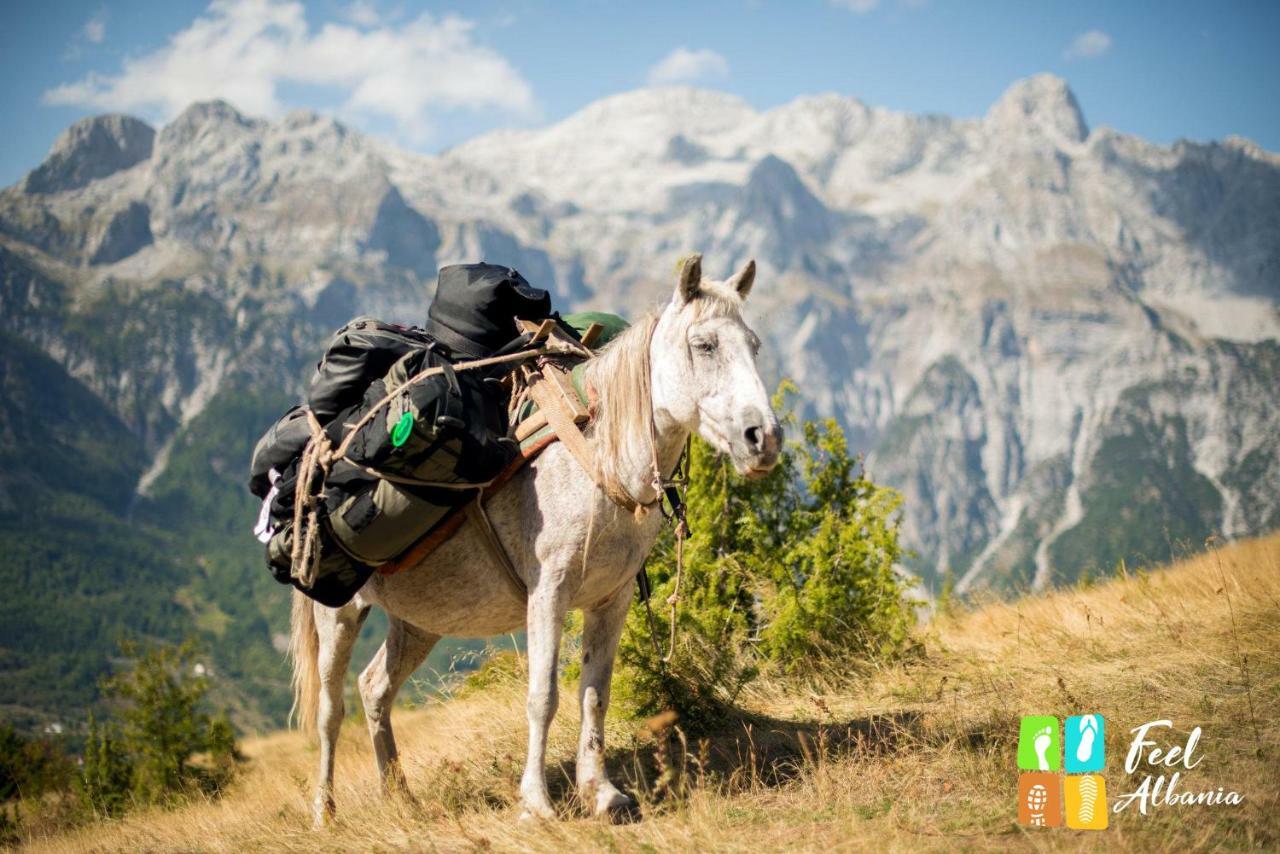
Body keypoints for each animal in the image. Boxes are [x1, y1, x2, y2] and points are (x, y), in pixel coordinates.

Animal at [291, 253, 783, 819]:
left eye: (754, 345)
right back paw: (324, 811)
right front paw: (537, 803)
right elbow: (543, 696)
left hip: (420, 620)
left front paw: (602, 793)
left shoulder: (611, 601)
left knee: (375, 689)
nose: (764, 438)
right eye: (704, 345)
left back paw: (402, 799)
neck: (596, 458)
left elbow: (595, 694)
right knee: (331, 710)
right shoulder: (548, 593)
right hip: (338, 613)